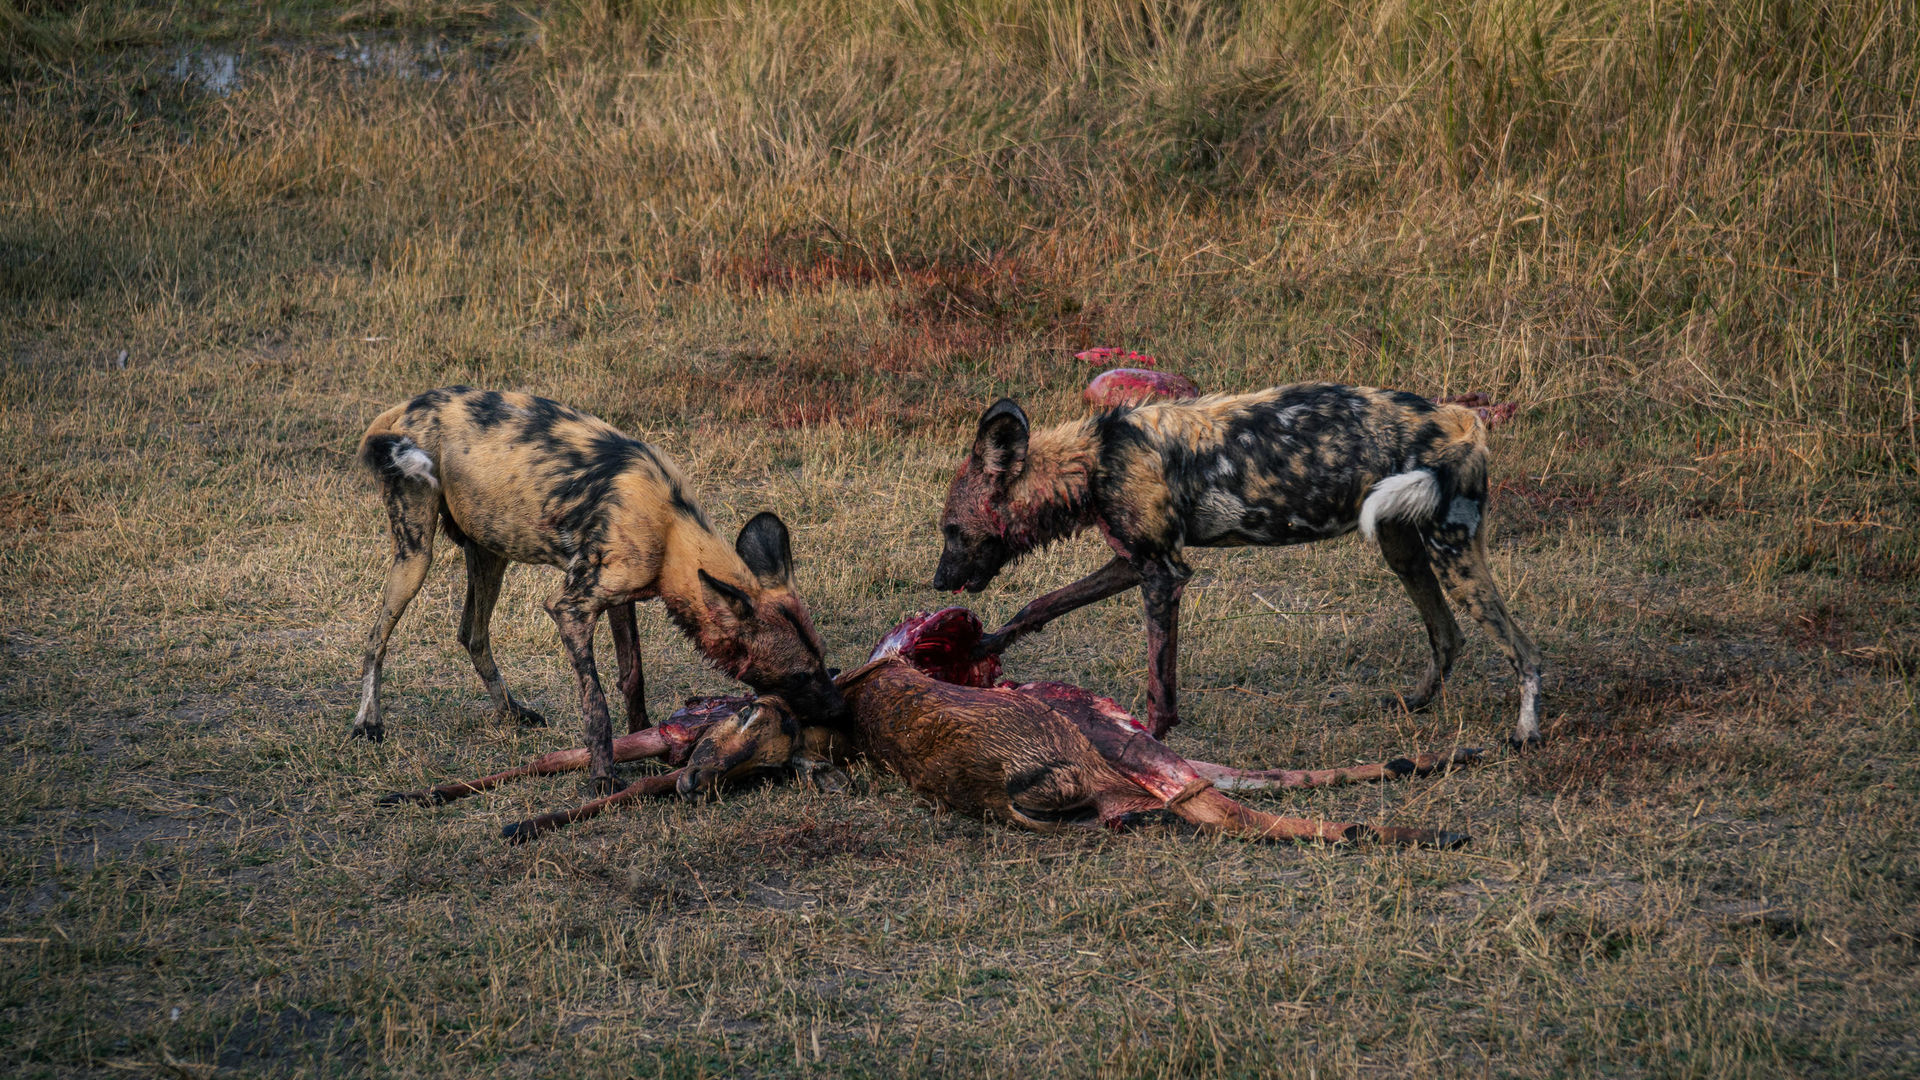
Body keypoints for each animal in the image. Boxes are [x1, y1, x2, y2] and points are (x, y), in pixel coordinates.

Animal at [355, 386, 848, 791]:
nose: (839, 710)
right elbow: (596, 705)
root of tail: (404, 407)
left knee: (472, 635)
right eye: (799, 675)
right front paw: (603, 775)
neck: (672, 527)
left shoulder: (621, 598)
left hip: (490, 552)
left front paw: (642, 737)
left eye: (822, 661)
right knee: (376, 639)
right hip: (416, 556)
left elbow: (632, 678)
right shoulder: (570, 608)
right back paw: (368, 724)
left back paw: (512, 712)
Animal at [929, 382, 1543, 745]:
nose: (937, 582)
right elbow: (1042, 605)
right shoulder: (1135, 563)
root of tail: (1464, 418)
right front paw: (983, 646)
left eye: (952, 531)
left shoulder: (1163, 575)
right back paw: (1414, 702)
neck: (1097, 458)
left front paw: (1151, 743)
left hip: (1452, 554)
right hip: (1403, 549)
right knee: (1448, 635)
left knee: (1524, 649)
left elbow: (1159, 682)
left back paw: (1525, 732)